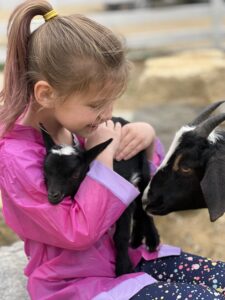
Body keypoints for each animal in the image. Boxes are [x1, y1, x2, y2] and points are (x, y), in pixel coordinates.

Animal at [40, 117, 160, 276]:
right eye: (45, 171)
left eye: (75, 174)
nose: (53, 195)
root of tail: (122, 120)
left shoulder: (123, 198)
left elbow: (121, 236)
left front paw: (123, 269)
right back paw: (136, 241)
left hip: (143, 172)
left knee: (143, 205)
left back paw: (152, 240)